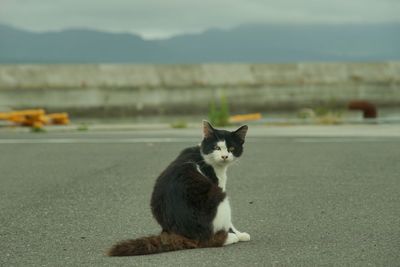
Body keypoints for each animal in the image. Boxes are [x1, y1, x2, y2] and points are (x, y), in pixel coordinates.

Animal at [107, 121, 250, 258]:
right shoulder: (217, 183)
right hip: (219, 197)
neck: (203, 156)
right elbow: (230, 224)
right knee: (211, 240)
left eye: (231, 148)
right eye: (216, 148)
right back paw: (231, 237)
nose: (225, 156)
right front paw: (240, 234)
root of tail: (183, 234)